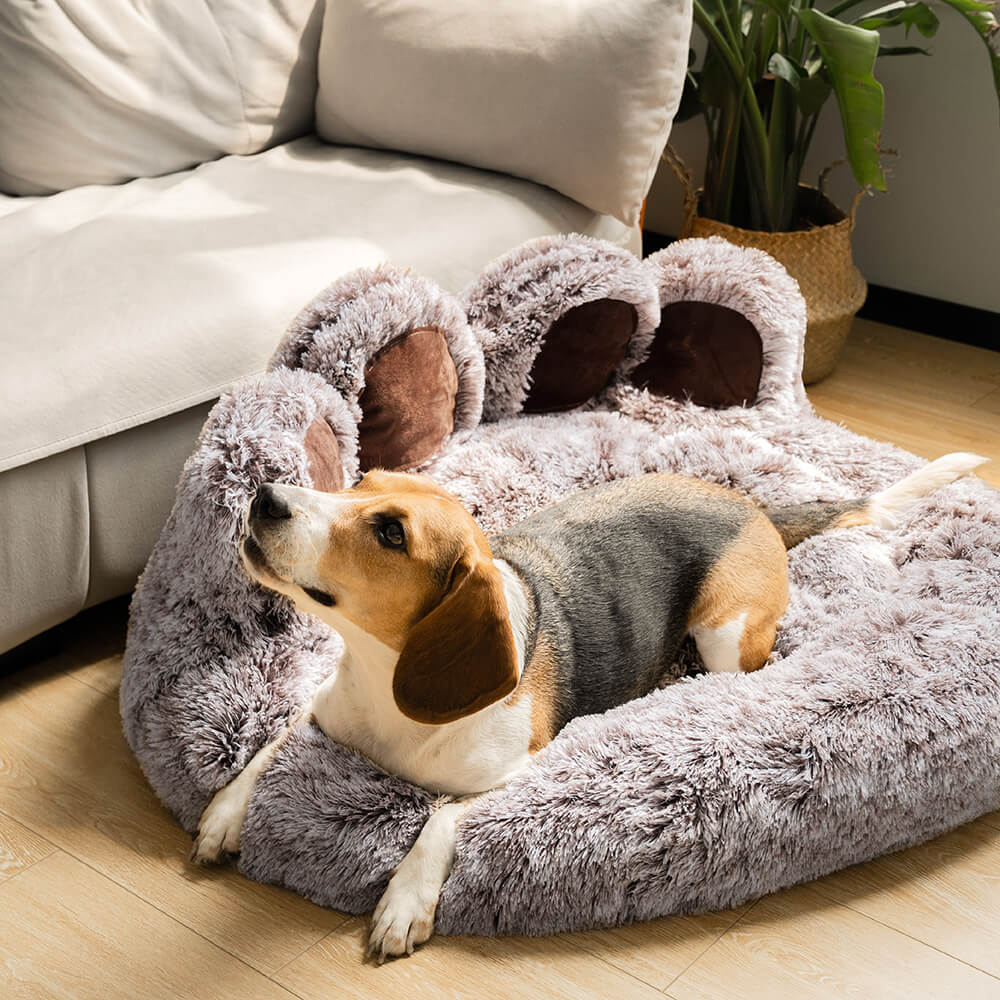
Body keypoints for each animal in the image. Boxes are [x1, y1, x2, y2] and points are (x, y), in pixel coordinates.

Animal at [193, 454, 984, 960]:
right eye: (359, 482)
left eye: (391, 532)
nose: (264, 496)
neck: (383, 679)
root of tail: (752, 505)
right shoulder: (323, 710)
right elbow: (264, 749)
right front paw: (224, 816)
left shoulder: (514, 777)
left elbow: (442, 816)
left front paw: (403, 903)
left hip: (726, 636)